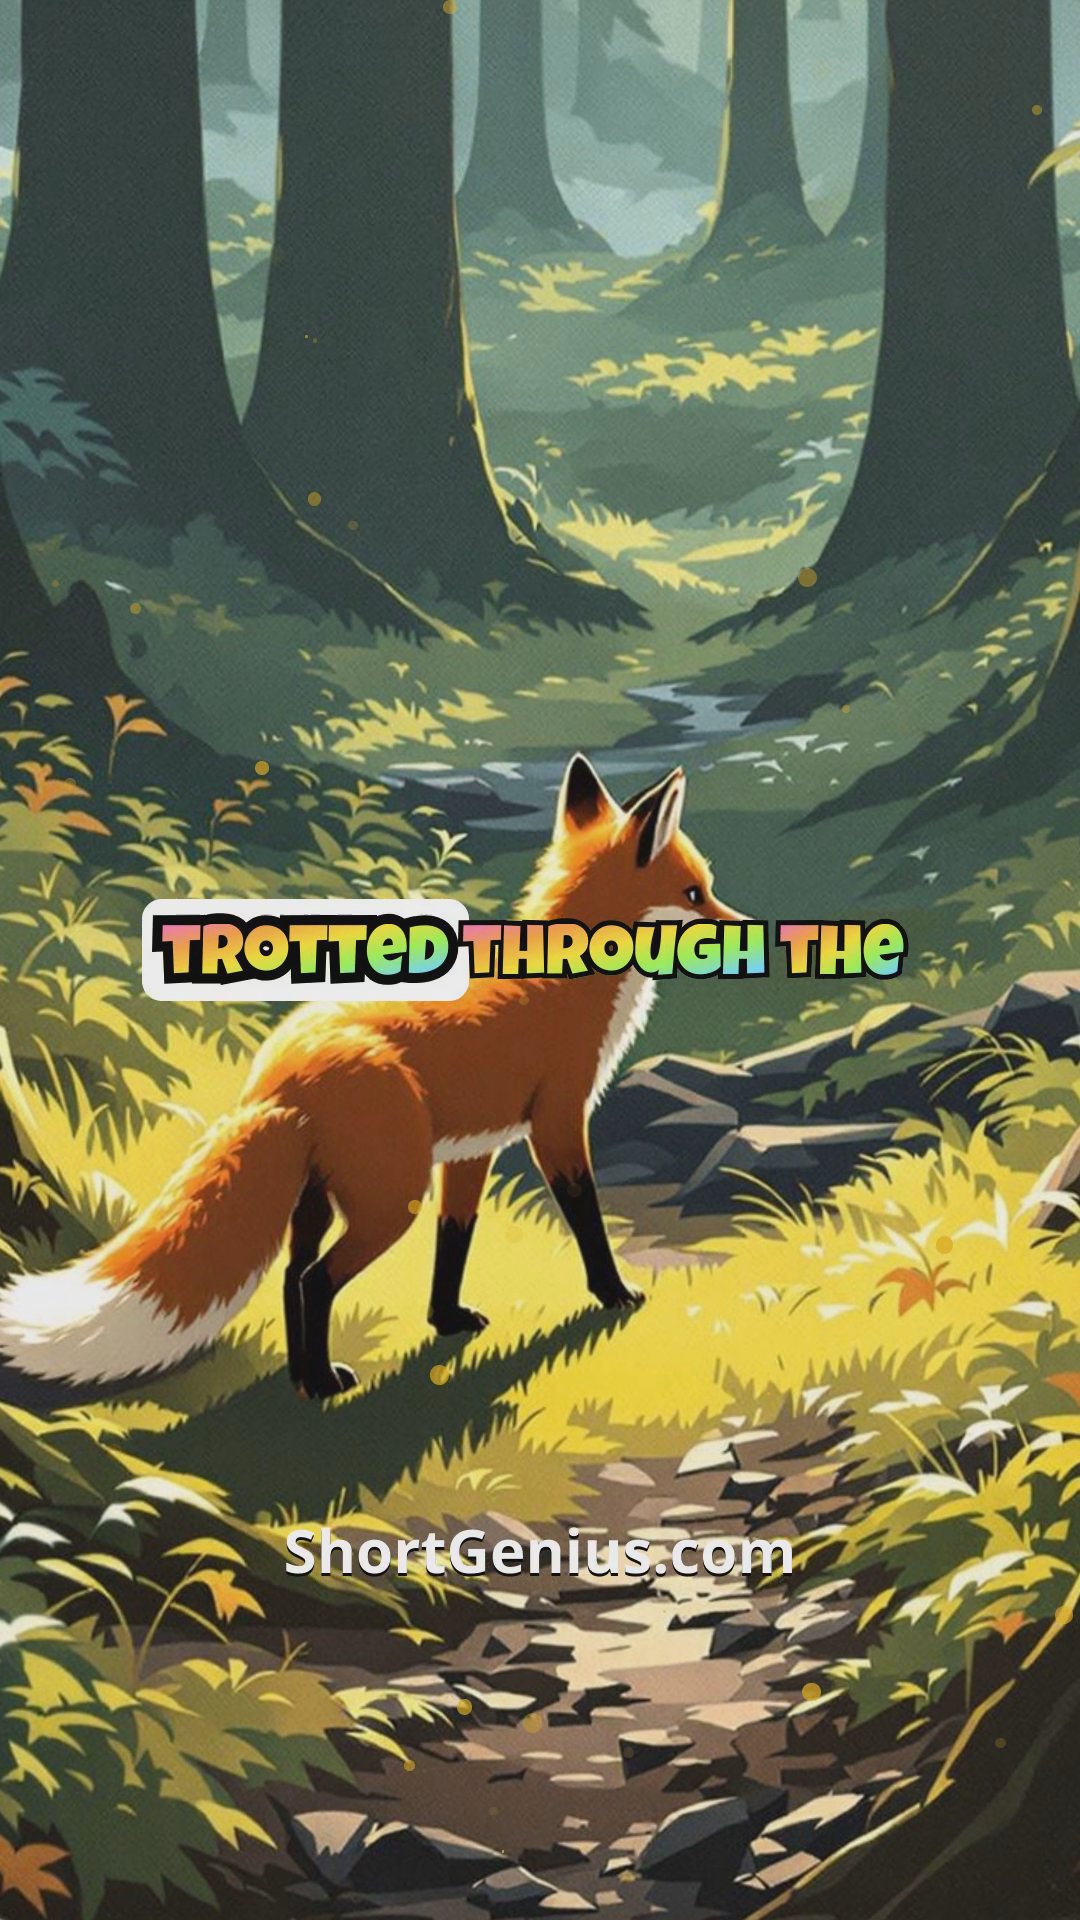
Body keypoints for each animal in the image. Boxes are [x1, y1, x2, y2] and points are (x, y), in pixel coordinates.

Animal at [0, 758, 742, 1400]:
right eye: (694, 894)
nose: (744, 931)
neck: (565, 986)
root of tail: (278, 1070)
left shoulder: (472, 1151)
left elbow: (455, 1241)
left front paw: (446, 1320)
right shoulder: (557, 1122)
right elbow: (587, 1217)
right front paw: (615, 1294)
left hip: (322, 1197)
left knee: (292, 1274)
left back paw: (306, 1378)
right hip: (391, 1196)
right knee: (316, 1281)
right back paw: (323, 1384)